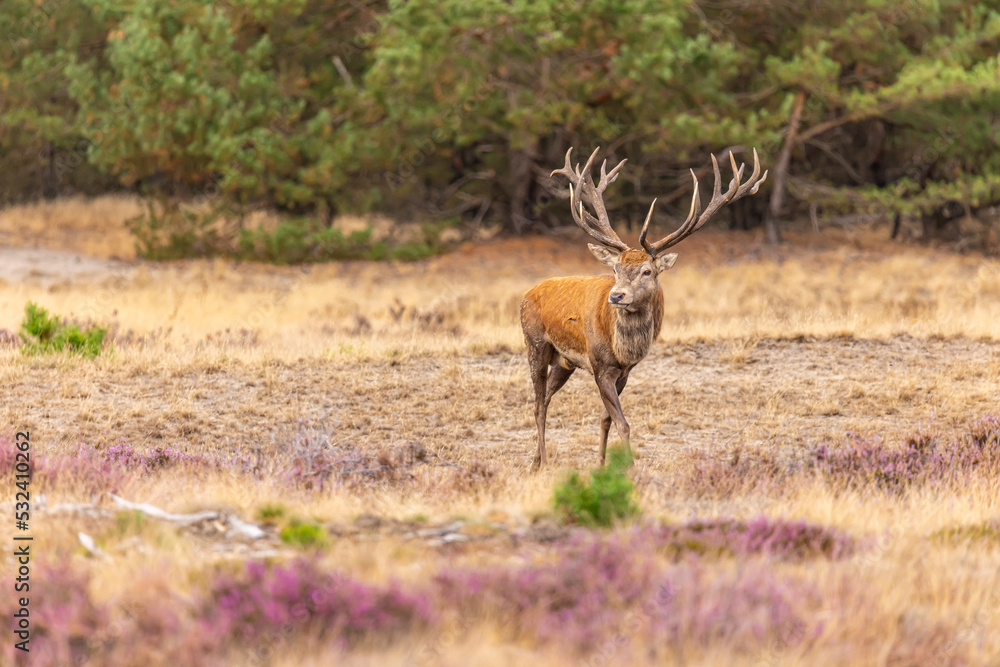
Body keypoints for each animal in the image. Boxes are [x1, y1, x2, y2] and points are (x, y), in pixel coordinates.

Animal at [524, 146, 764, 470]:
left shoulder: (624, 372)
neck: (622, 348)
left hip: (564, 362)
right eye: (614, 268)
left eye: (647, 271)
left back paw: (536, 462)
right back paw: (545, 463)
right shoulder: (600, 365)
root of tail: (527, 294)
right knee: (537, 404)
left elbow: (606, 419)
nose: (617, 296)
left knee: (545, 400)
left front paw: (602, 464)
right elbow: (623, 423)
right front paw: (628, 468)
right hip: (535, 344)